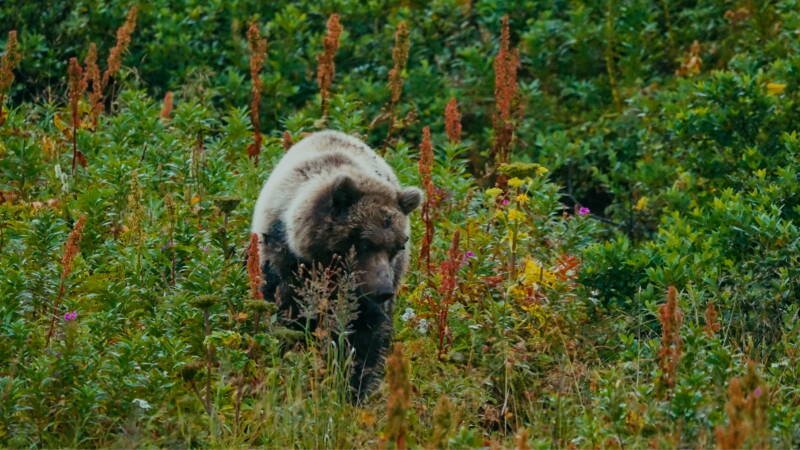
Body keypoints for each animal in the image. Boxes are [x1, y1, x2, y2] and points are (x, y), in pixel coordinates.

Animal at [251, 130, 422, 401]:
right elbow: (288, 317)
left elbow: (364, 336)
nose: (384, 290)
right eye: (364, 243)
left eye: (397, 247)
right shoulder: (284, 261)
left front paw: (353, 385)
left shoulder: (363, 298)